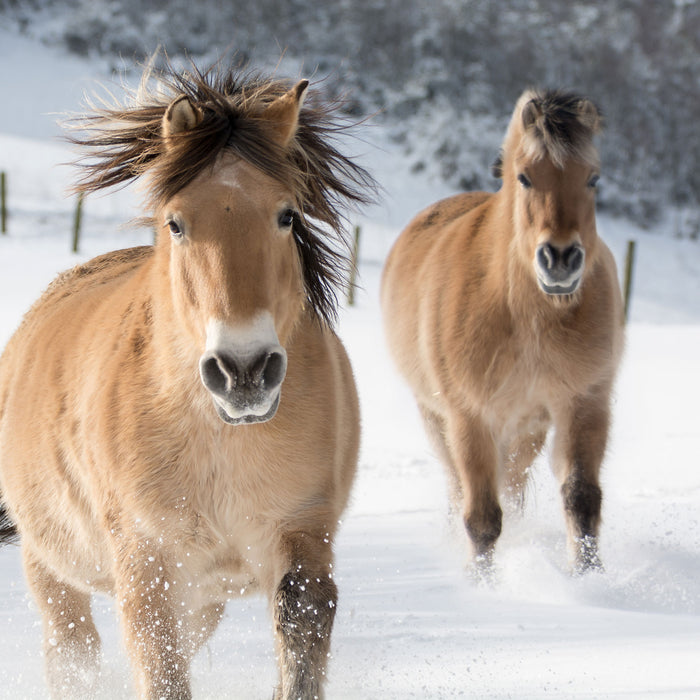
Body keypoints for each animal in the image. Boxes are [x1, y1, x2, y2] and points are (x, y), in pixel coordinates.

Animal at [0, 61, 374, 700]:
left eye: (287, 215)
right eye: (175, 223)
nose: (243, 370)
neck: (219, 440)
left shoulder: (301, 534)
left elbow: (299, 639)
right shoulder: (148, 566)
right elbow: (161, 673)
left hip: (204, 598)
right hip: (52, 566)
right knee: (73, 650)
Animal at [382, 89, 624, 576]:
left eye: (593, 178)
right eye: (525, 177)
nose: (560, 260)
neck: (527, 318)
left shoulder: (584, 403)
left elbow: (581, 498)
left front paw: (590, 579)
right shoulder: (470, 417)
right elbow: (481, 517)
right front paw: (482, 583)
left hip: (526, 428)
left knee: (512, 488)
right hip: (437, 418)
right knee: (460, 489)